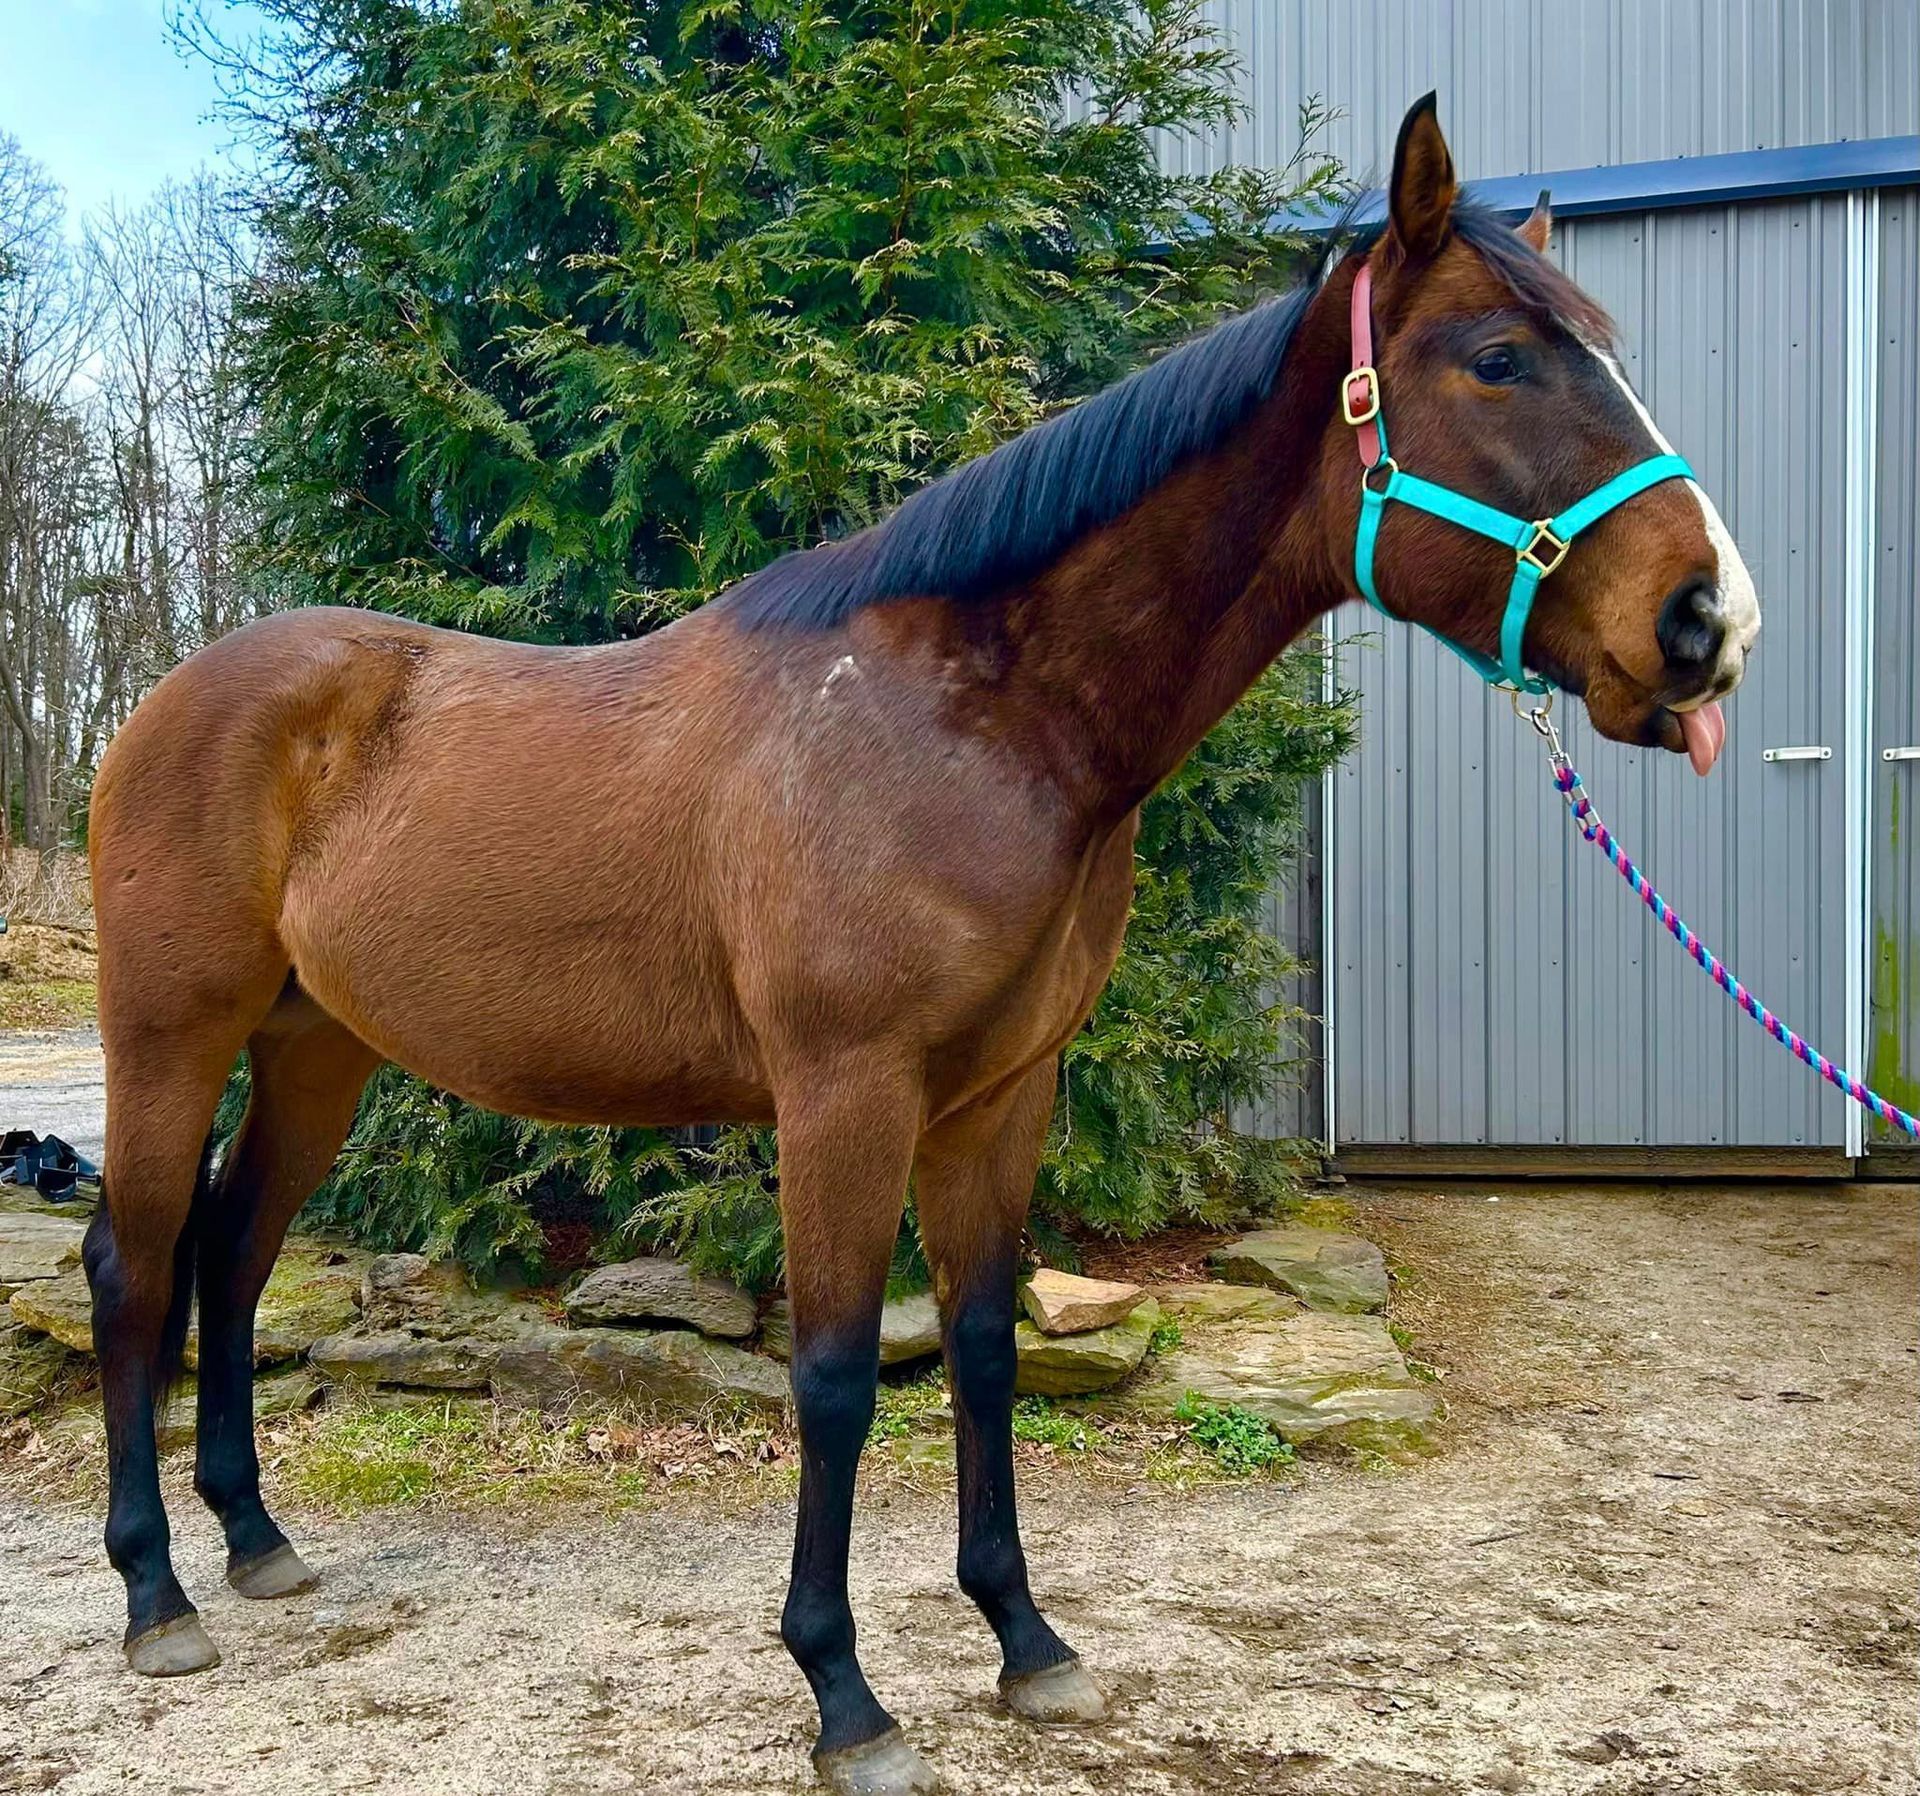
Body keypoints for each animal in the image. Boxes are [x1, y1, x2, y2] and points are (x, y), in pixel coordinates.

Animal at [82, 95, 1757, 1794]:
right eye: (1499, 360)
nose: (1709, 621)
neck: (973, 718)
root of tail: (165, 699)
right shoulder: (846, 1095)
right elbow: (831, 1376)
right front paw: (845, 1696)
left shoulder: (1000, 1096)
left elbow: (984, 1344)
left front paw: (1026, 1641)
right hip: (170, 1035)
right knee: (133, 1266)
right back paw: (159, 1594)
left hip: (317, 1049)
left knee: (234, 1251)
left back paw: (255, 1540)